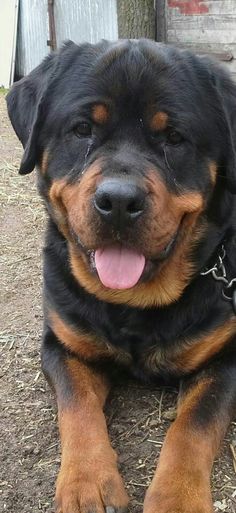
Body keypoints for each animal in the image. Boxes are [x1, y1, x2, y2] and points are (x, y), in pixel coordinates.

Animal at [6, 41, 236, 512]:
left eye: (174, 138)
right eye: (81, 129)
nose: (118, 200)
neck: (134, 304)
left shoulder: (226, 357)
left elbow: (193, 425)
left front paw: (178, 499)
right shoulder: (62, 345)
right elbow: (77, 408)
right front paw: (87, 483)